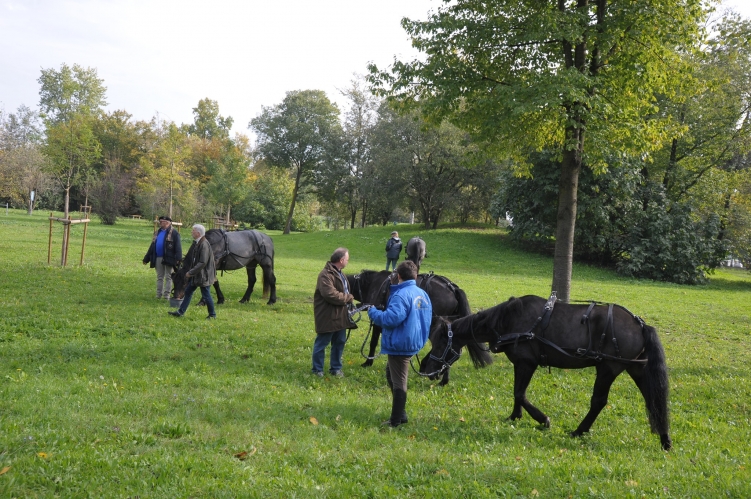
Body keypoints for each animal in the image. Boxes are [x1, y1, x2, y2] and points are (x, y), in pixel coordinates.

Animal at [420, 294, 672, 452]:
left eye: (440, 343)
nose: (425, 369)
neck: (508, 320)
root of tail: (640, 324)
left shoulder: (527, 363)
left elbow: (520, 394)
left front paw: (543, 419)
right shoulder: (520, 364)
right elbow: (516, 393)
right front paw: (514, 416)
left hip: (608, 369)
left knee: (599, 401)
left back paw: (579, 431)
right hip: (635, 368)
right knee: (653, 399)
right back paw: (665, 439)